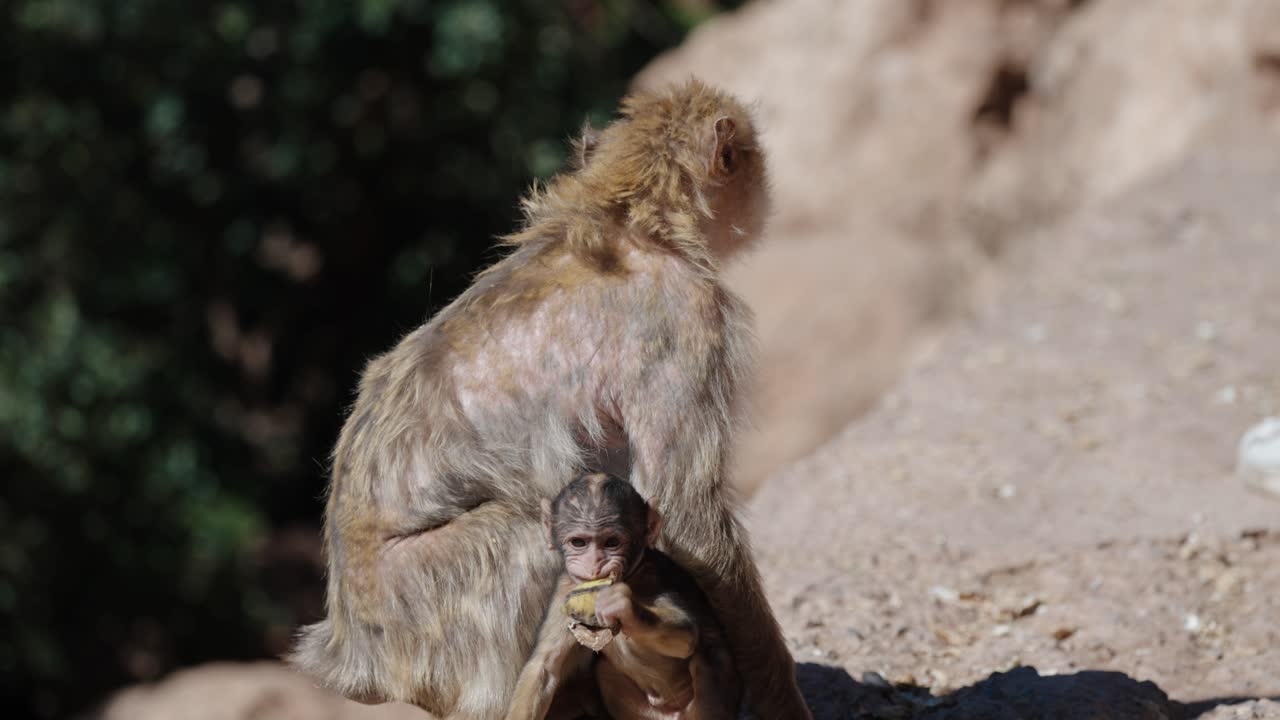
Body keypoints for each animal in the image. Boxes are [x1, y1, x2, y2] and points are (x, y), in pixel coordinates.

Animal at [506, 472, 740, 720]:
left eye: (612, 542)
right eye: (578, 542)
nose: (595, 565)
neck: (629, 576)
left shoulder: (655, 574)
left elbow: (687, 634)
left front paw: (623, 606)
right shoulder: (565, 589)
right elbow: (544, 667)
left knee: (708, 656)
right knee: (604, 671)